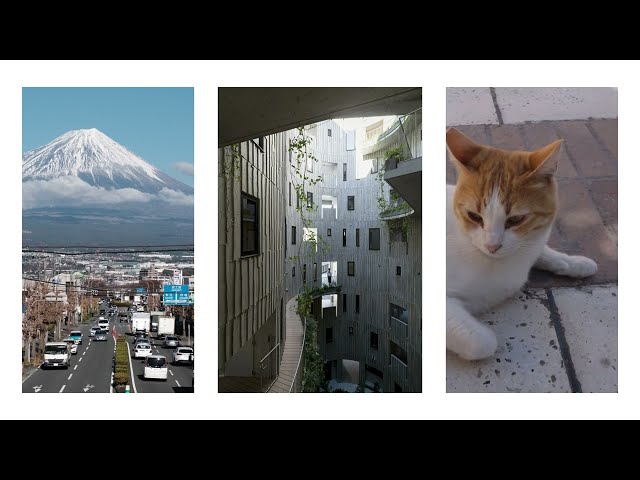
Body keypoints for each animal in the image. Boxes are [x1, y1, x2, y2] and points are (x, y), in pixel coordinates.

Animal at [448, 127, 596, 360]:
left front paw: (575, 263)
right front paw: (491, 340)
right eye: (474, 216)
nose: (492, 246)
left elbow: (545, 252)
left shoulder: (531, 244)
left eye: (516, 220)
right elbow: (482, 343)